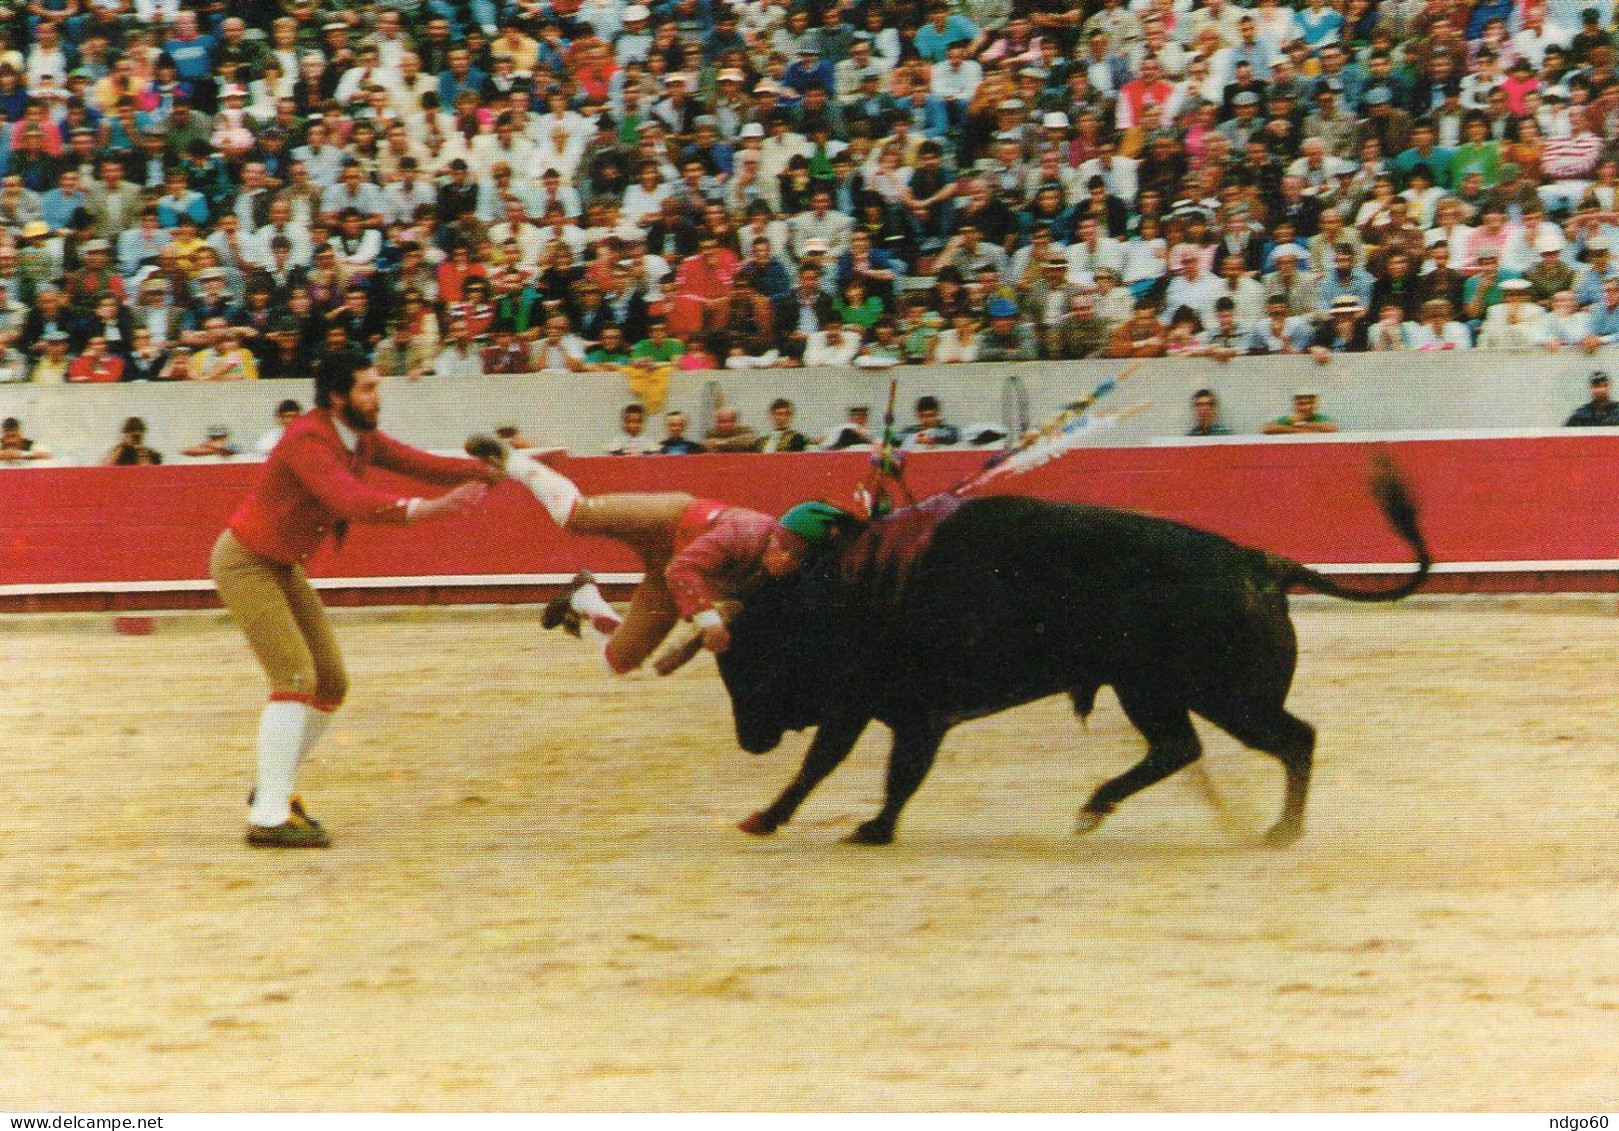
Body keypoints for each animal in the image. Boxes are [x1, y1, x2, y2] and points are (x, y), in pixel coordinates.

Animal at [718, 456, 1431, 847]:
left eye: (753, 664)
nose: (748, 741)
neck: (849, 589)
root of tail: (1260, 561)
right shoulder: (895, 712)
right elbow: (864, 768)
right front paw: (842, 824)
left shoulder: (890, 709)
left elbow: (846, 766)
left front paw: (841, 826)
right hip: (1153, 691)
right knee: (1183, 747)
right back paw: (1099, 809)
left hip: (1221, 696)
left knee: (1290, 739)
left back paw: (1277, 832)